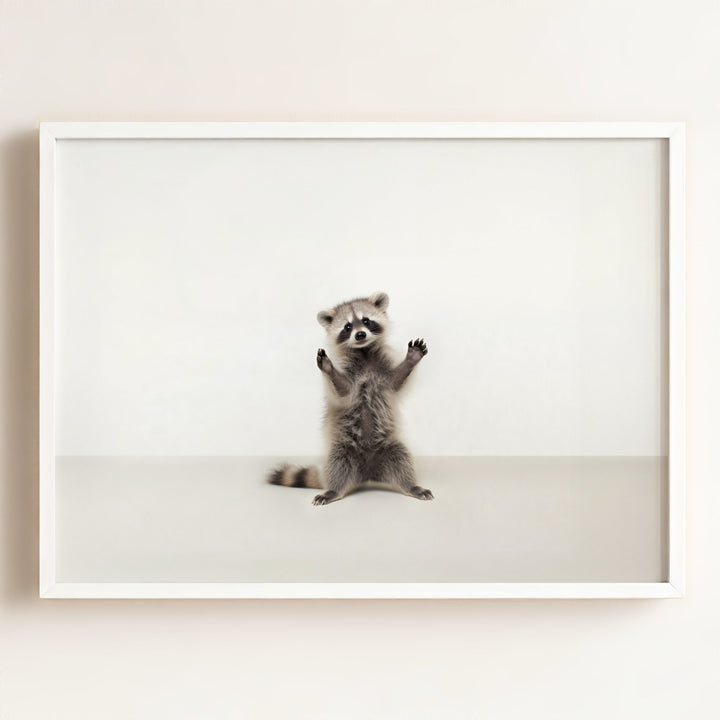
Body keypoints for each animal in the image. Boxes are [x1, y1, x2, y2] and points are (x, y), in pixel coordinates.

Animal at [267, 291, 433, 505]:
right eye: (347, 327)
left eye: (366, 321)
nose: (360, 334)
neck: (364, 352)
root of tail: (368, 474)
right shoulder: (348, 373)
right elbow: (343, 391)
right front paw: (329, 369)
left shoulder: (383, 369)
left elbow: (396, 382)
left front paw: (411, 360)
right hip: (342, 448)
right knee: (337, 465)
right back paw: (333, 490)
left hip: (390, 446)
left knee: (402, 459)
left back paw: (411, 486)